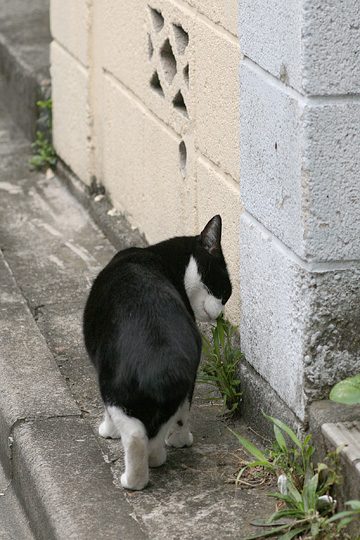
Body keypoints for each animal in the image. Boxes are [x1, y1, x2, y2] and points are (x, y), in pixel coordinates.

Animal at [83, 214, 232, 490]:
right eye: (224, 290)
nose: (222, 314)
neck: (158, 255)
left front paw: (107, 431)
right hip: (183, 377)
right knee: (171, 417)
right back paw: (160, 454)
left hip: (113, 382)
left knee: (136, 435)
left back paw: (136, 477)